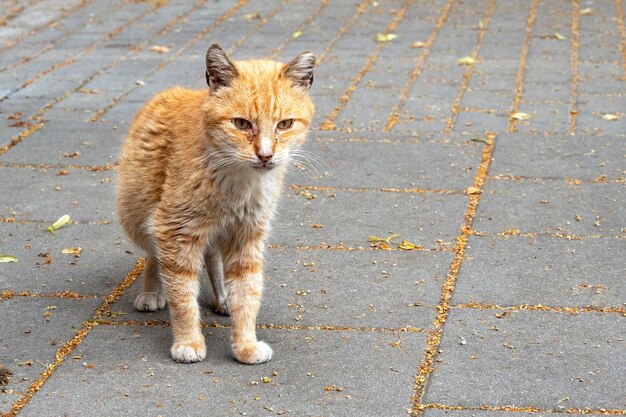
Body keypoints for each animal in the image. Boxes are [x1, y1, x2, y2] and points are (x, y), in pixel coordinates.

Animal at [116, 44, 314, 364]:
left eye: (285, 124)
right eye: (241, 124)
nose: (265, 155)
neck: (237, 180)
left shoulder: (246, 236)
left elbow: (247, 293)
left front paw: (245, 344)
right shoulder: (175, 230)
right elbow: (183, 295)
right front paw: (188, 341)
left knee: (212, 260)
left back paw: (222, 298)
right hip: (138, 215)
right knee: (154, 255)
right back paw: (152, 291)